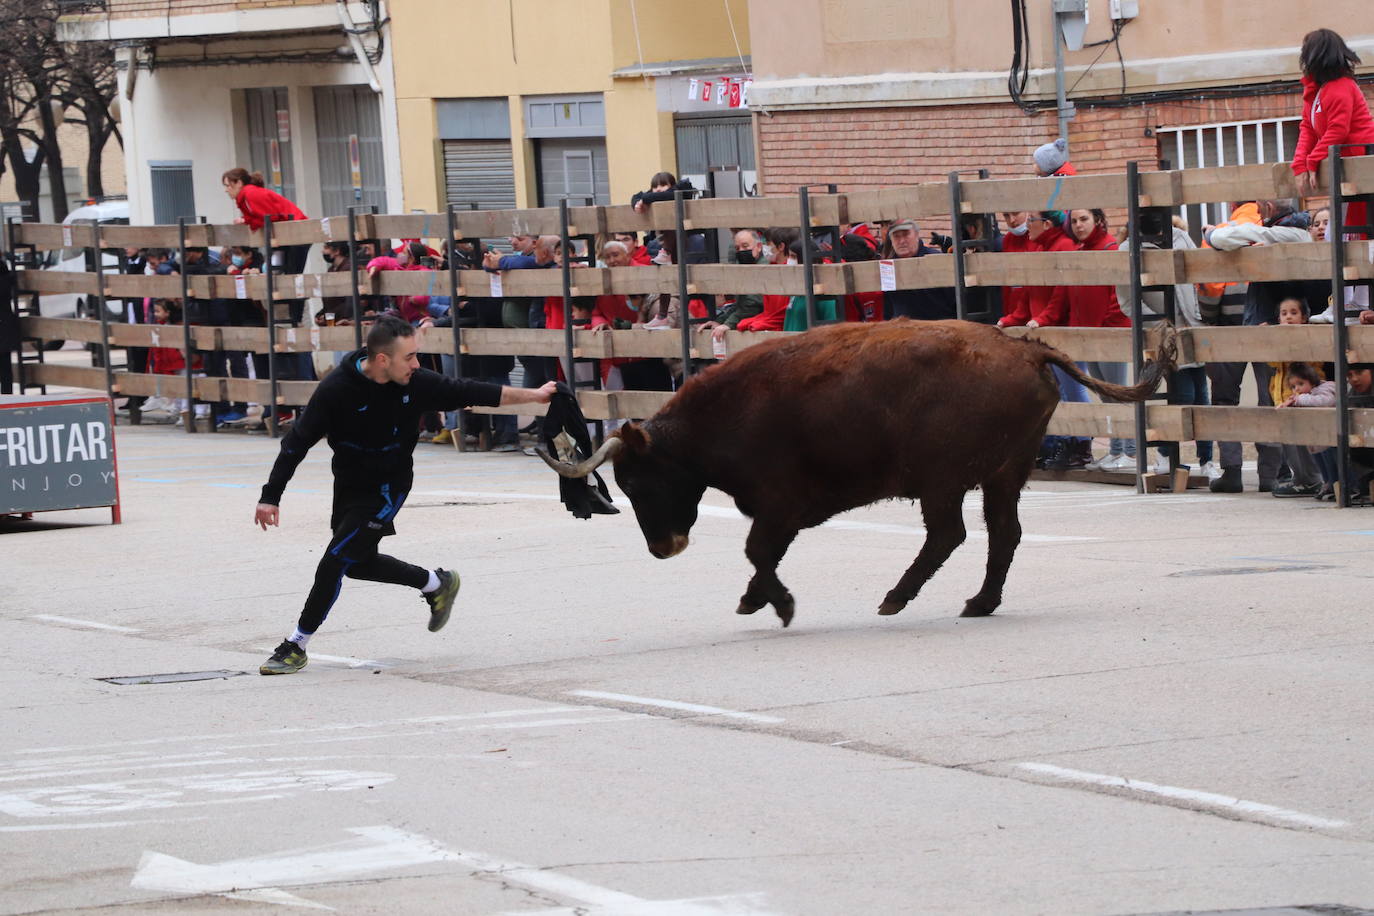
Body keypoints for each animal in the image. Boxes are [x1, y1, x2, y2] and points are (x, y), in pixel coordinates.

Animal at [541, 318, 1176, 626]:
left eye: (636, 481)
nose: (662, 548)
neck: (723, 416)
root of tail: (1025, 347)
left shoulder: (779, 503)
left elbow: (758, 551)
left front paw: (775, 604)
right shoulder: (781, 511)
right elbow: (763, 555)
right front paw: (756, 599)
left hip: (945, 480)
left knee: (950, 534)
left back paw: (897, 598)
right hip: (1003, 474)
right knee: (1002, 534)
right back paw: (978, 602)